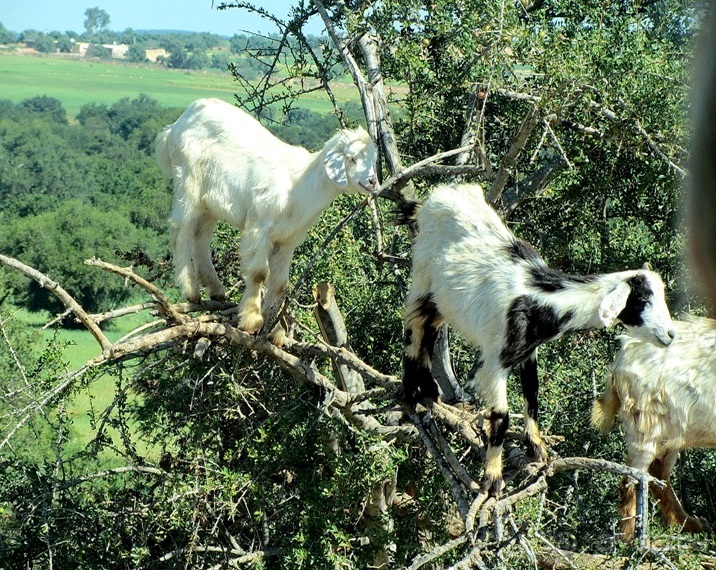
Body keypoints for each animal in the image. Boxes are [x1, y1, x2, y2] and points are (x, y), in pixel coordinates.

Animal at [402, 184, 676, 494]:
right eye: (642, 299)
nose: (670, 334)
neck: (540, 298)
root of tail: (438, 196)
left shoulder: (529, 350)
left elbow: (532, 395)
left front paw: (537, 448)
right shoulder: (497, 360)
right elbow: (501, 417)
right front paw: (492, 478)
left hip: (443, 300)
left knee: (431, 328)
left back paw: (428, 389)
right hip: (422, 277)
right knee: (413, 324)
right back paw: (410, 392)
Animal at [592, 318, 716, 540]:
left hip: (669, 432)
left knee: (657, 475)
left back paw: (688, 524)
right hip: (645, 424)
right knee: (633, 480)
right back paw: (632, 539)